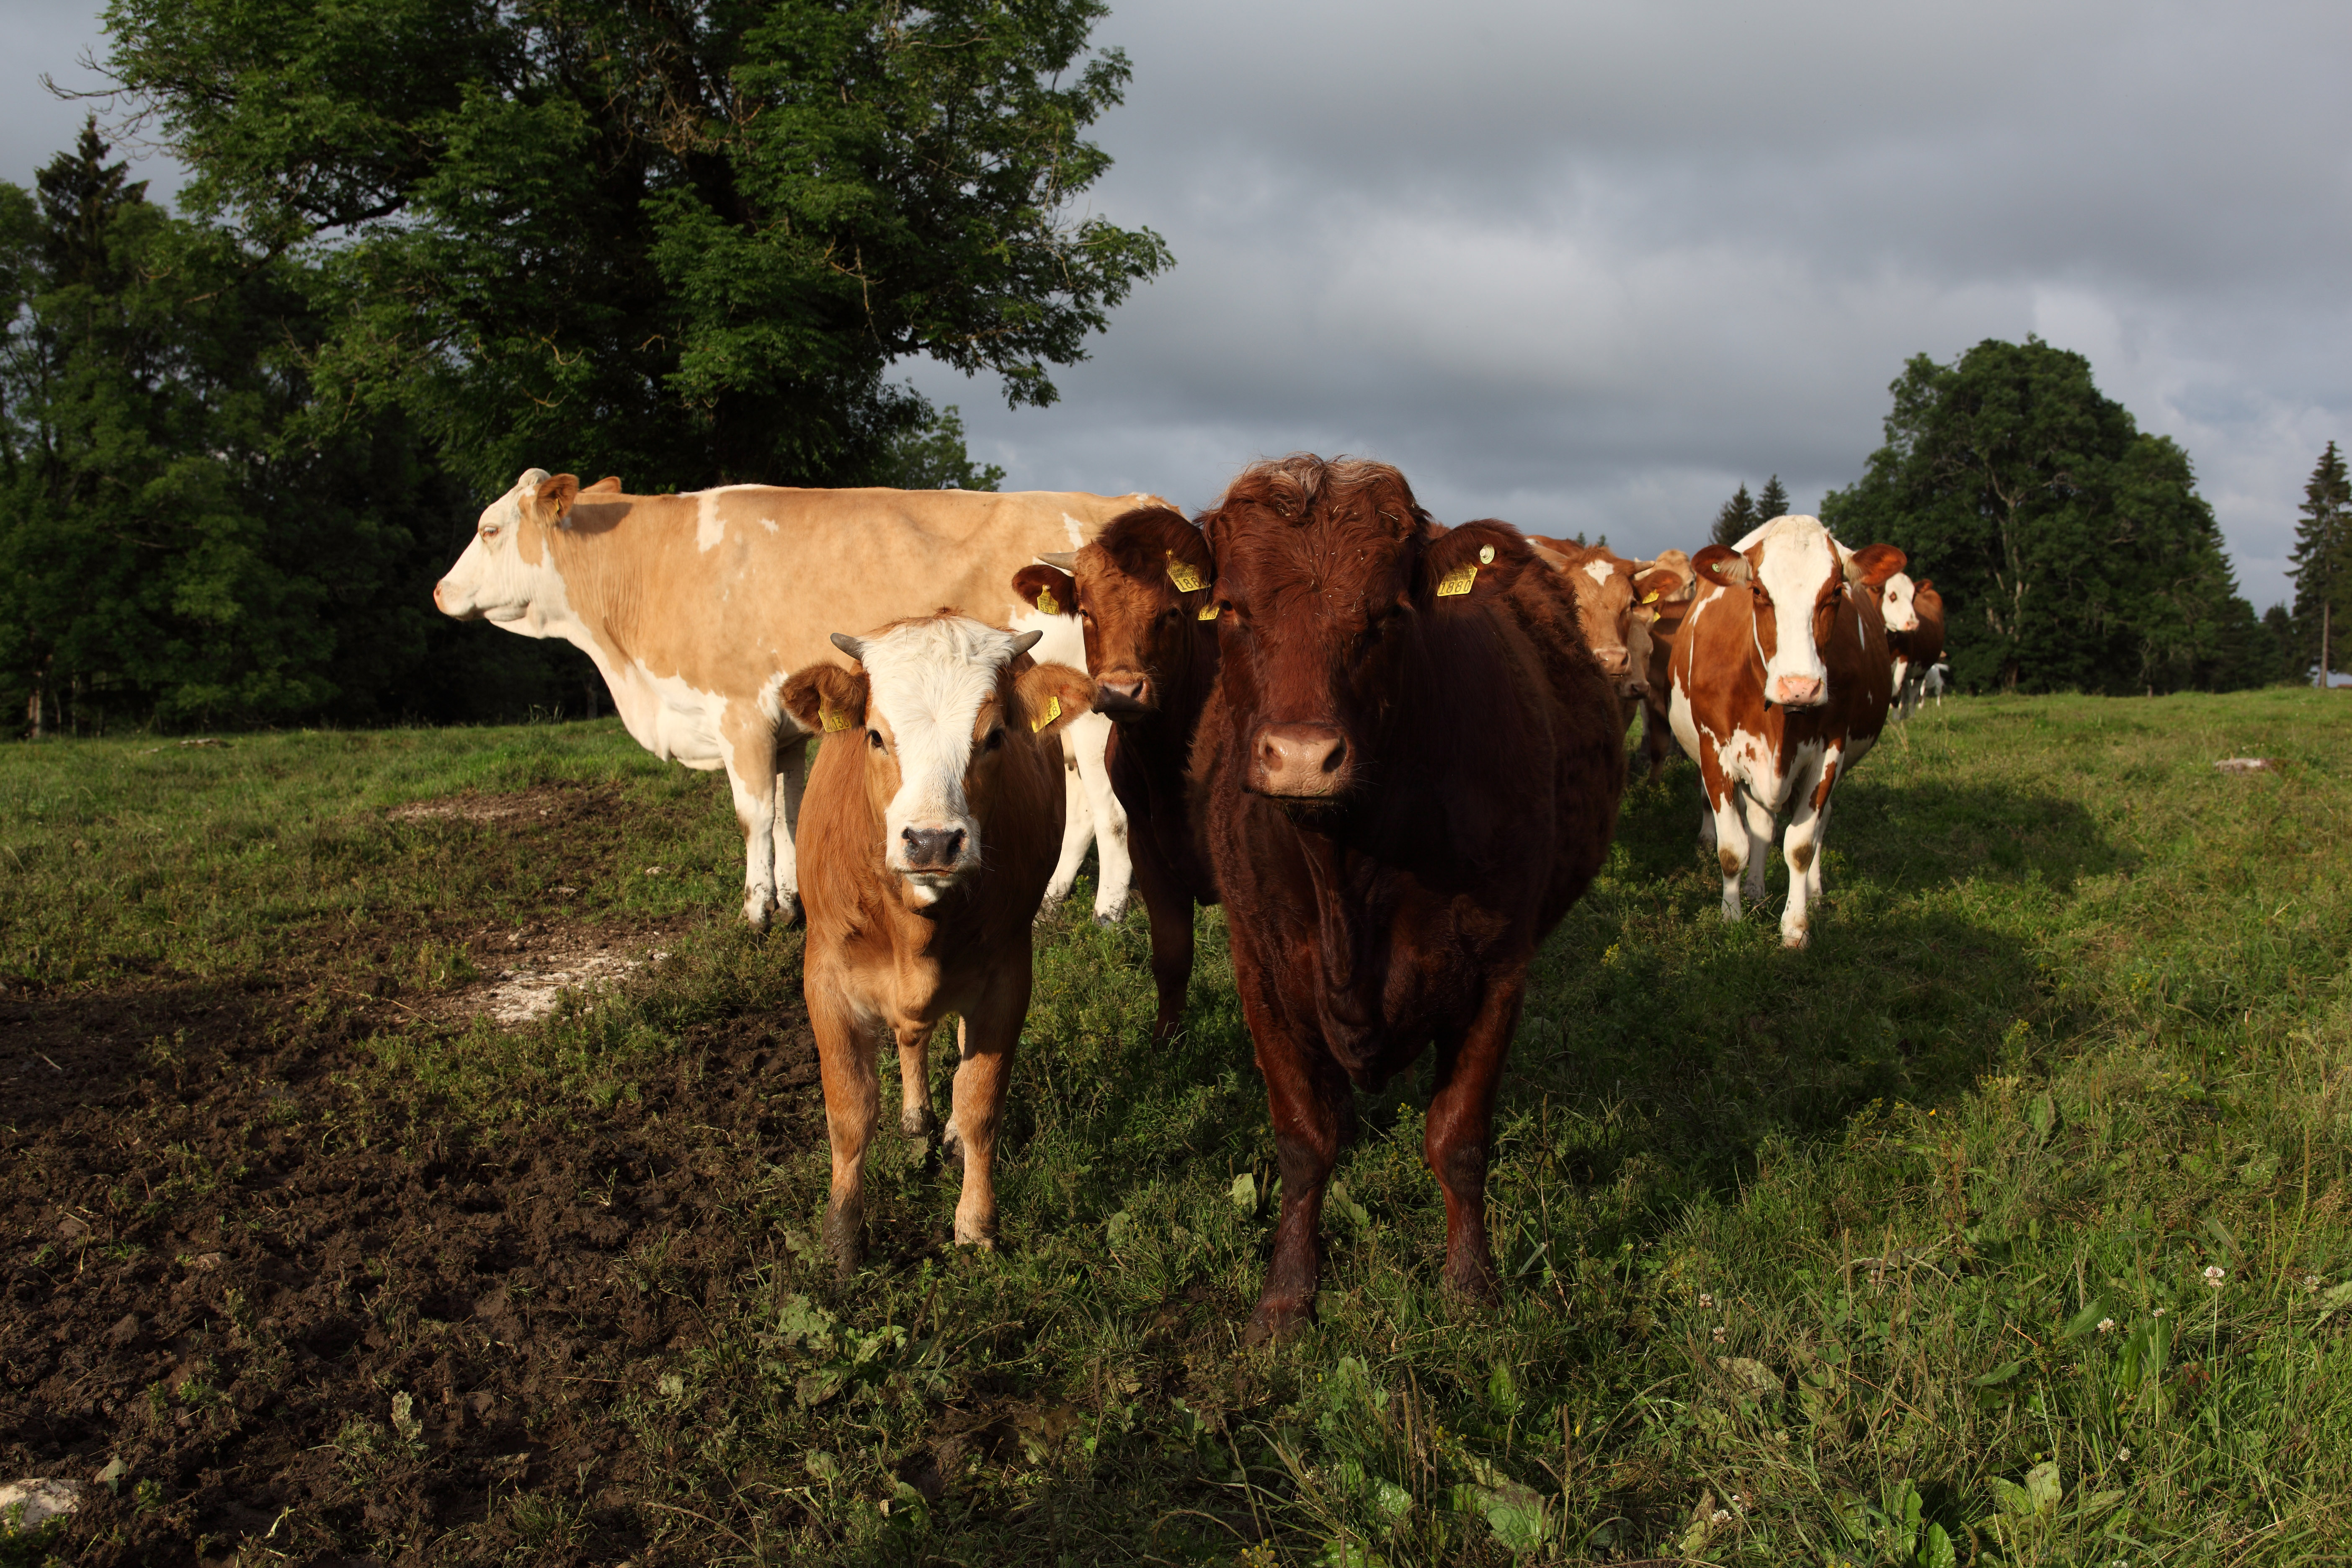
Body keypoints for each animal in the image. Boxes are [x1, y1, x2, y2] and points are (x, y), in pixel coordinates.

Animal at [433, 470, 1166, 931]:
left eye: (489, 528)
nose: (440, 592)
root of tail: (1120, 499)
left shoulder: (738, 716)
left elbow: (752, 817)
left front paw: (756, 910)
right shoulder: (783, 726)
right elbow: (785, 816)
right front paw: (790, 899)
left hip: (1097, 714)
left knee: (1112, 811)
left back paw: (1107, 912)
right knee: (1082, 808)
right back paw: (1050, 902)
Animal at [776, 611, 1096, 1279]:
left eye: (995, 736)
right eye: (875, 735)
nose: (930, 841)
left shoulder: (1008, 977)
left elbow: (979, 1103)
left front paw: (976, 1224)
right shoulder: (825, 977)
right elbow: (849, 1113)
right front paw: (843, 1236)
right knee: (910, 1040)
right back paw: (915, 1115)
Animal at [1016, 505, 1232, 1044]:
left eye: (1172, 613)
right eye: (1088, 612)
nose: (1120, 691)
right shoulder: (1149, 848)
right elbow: (1172, 957)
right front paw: (1166, 1045)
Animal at [1194, 451, 1618, 1335]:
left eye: (1387, 614)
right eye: (1231, 608)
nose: (1302, 755)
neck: (1345, 868)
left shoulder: (1497, 968)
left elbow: (1458, 1137)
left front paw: (1472, 1285)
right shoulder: (1259, 966)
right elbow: (1304, 1139)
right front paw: (1286, 1294)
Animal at [1665, 522, 1900, 949]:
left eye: (1836, 592)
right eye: (1758, 591)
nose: (1800, 687)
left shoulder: (1830, 750)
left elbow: (1802, 845)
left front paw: (1795, 926)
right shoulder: (1714, 750)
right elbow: (1733, 847)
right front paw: (1731, 917)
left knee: (1819, 823)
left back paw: (1814, 894)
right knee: (1761, 822)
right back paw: (1755, 890)